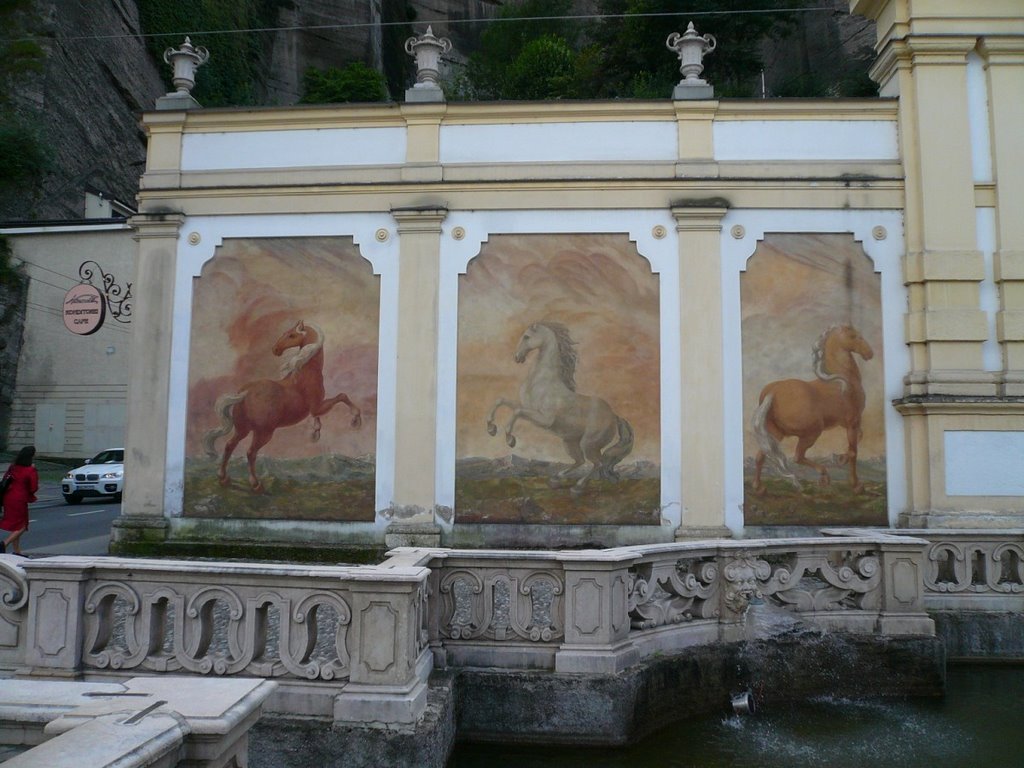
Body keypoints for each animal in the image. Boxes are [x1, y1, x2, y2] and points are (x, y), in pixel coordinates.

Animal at [485, 319, 630, 495]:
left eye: (526, 337)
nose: (517, 357)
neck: (541, 381)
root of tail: (613, 416)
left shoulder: (544, 419)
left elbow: (516, 412)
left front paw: (510, 439)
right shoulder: (528, 408)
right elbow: (501, 401)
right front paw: (491, 429)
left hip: (588, 444)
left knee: (597, 463)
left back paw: (577, 487)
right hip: (569, 442)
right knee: (580, 461)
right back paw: (555, 479)